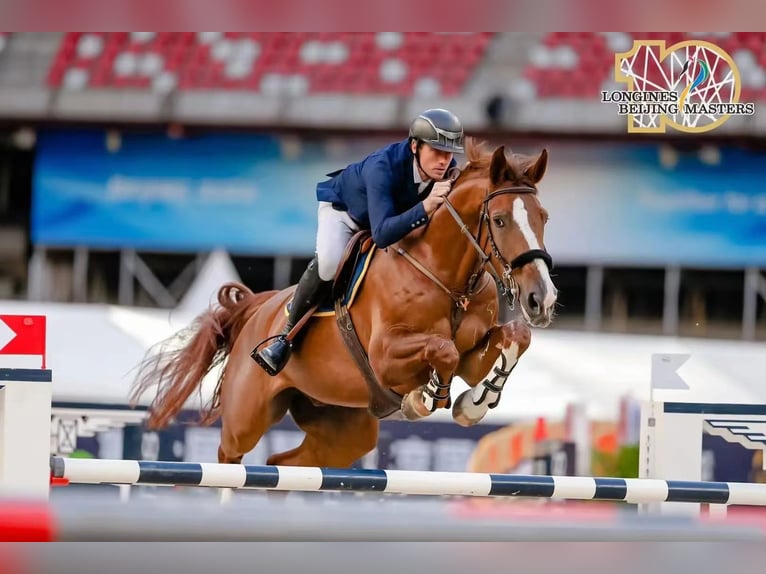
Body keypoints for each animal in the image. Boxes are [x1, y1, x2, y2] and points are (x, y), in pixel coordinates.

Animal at [132, 140, 560, 468]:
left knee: (284, 463)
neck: (447, 278)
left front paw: (474, 403)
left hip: (341, 427)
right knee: (228, 457)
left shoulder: (476, 353)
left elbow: (514, 337)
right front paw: (424, 397)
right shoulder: (386, 355)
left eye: (544, 217)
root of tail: (258, 308)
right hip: (246, 418)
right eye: (500, 220)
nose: (542, 299)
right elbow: (443, 349)